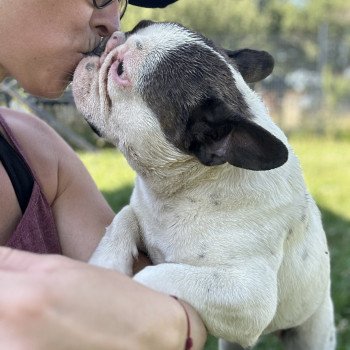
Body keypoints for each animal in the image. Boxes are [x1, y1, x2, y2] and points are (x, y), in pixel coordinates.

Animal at [72, 20, 334, 348]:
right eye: (139, 26)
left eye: (120, 70)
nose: (108, 40)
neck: (182, 191)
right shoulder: (141, 208)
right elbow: (124, 216)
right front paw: (105, 265)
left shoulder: (248, 295)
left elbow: (150, 276)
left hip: (313, 327)